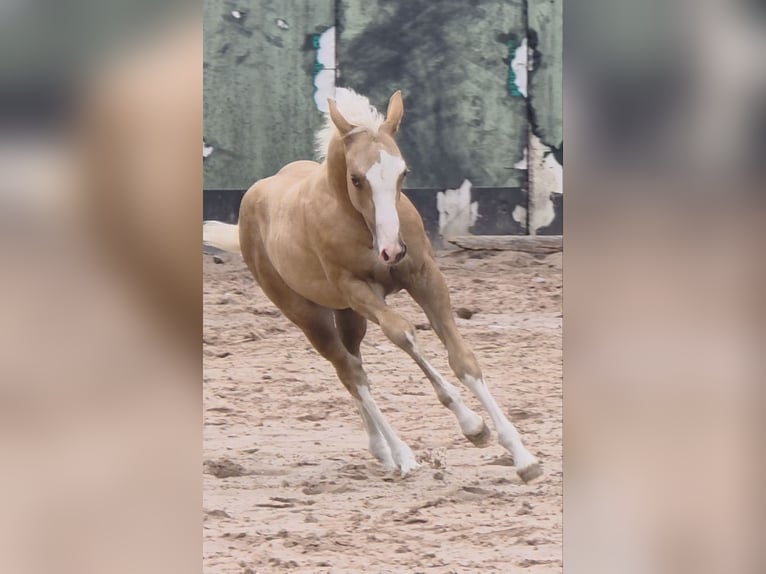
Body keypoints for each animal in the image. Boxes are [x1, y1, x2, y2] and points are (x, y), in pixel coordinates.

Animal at [203, 88, 541, 482]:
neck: (362, 225)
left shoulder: (425, 277)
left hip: (349, 316)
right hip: (307, 315)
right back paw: (402, 454)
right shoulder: (357, 290)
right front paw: (473, 426)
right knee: (350, 371)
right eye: (356, 178)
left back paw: (383, 451)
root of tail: (255, 195)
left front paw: (523, 456)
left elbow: (463, 359)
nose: (393, 250)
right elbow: (403, 334)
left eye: (403, 172)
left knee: (352, 365)